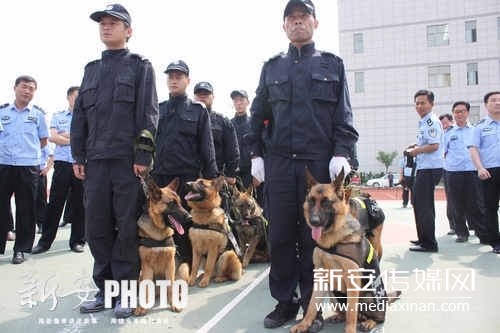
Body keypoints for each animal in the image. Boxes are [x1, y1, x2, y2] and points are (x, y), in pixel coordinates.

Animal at [135, 175, 191, 316]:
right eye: (172, 203)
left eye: (180, 202)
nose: (190, 217)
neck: (158, 233)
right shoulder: (146, 267)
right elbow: (147, 289)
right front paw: (143, 307)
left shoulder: (170, 264)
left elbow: (171, 287)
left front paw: (173, 304)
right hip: (141, 276)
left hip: (183, 269)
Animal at [290, 170, 402, 332]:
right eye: (311, 200)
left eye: (326, 202)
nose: (314, 221)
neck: (333, 240)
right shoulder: (320, 277)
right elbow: (312, 305)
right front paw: (304, 324)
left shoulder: (352, 281)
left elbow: (351, 313)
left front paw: (350, 330)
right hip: (332, 292)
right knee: (345, 311)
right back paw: (339, 316)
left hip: (370, 296)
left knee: (377, 317)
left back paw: (369, 322)